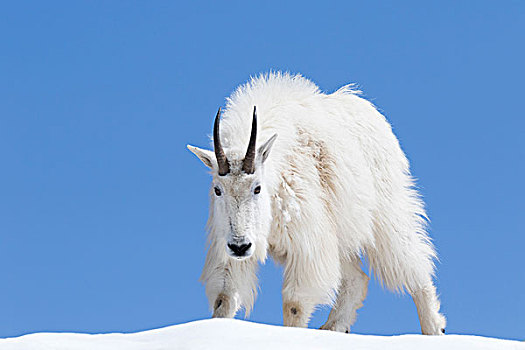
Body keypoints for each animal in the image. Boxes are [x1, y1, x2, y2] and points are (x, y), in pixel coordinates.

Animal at [186, 72, 444, 334]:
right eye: (218, 190)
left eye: (257, 188)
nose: (240, 247)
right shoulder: (227, 242)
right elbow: (225, 298)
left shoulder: (306, 241)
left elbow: (295, 304)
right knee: (357, 278)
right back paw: (333, 327)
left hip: (386, 214)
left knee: (412, 263)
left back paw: (434, 327)